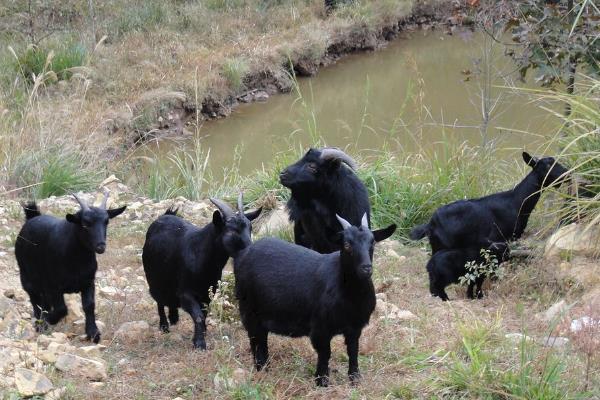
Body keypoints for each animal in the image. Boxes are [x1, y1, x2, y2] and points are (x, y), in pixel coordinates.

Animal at [14, 192, 126, 342]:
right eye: (85, 223)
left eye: (106, 222)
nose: (101, 246)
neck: (76, 260)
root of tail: (33, 216)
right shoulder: (54, 286)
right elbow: (62, 309)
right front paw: (48, 321)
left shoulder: (88, 282)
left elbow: (89, 305)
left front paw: (93, 333)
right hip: (26, 275)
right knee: (34, 298)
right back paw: (40, 323)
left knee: (43, 301)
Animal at [143, 192, 262, 348]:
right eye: (231, 231)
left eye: (250, 228)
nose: (250, 251)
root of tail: (164, 216)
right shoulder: (185, 293)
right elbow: (198, 316)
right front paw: (199, 343)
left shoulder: (207, 294)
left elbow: (203, 314)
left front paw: (201, 335)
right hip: (154, 279)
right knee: (159, 300)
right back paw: (164, 326)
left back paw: (174, 317)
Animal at [232, 216, 396, 388]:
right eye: (346, 244)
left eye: (373, 243)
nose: (366, 268)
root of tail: (244, 252)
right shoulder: (320, 328)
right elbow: (325, 353)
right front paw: (321, 381)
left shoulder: (354, 327)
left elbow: (353, 350)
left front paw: (355, 379)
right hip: (248, 309)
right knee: (255, 340)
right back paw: (260, 368)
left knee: (261, 339)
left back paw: (265, 368)